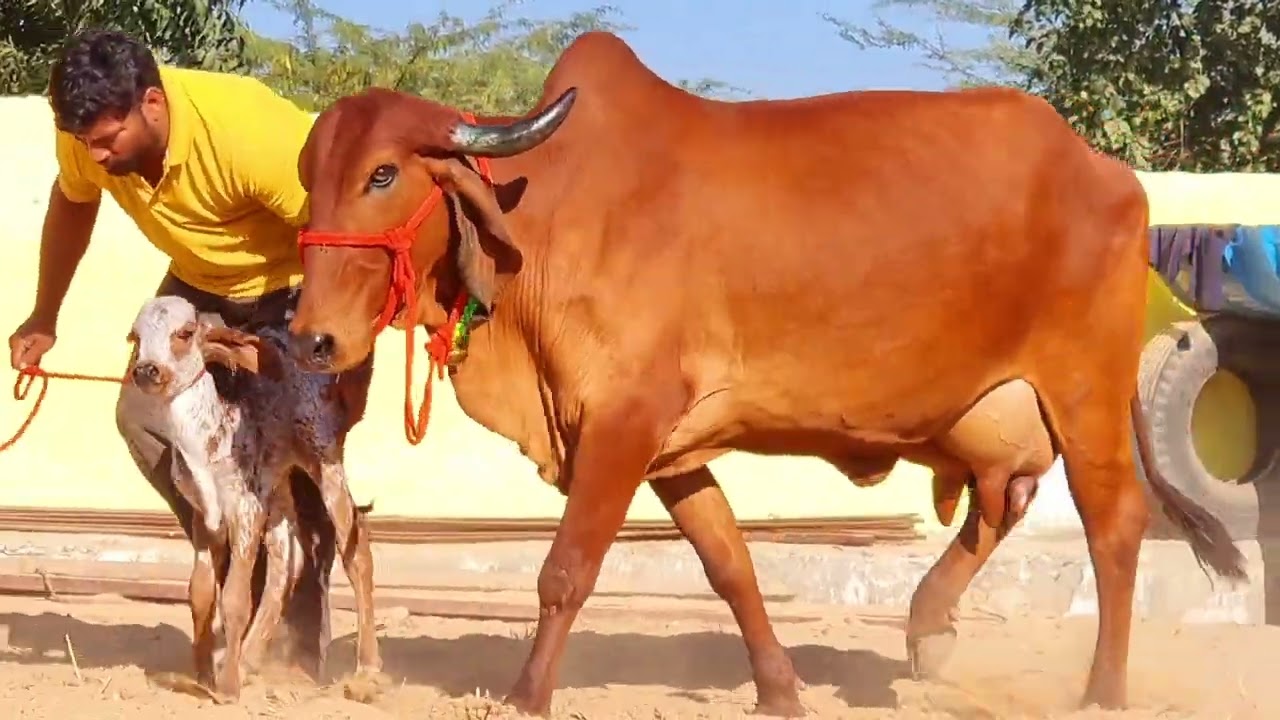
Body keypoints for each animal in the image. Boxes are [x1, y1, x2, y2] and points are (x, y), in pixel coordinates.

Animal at [282, 31, 1248, 717]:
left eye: (382, 173)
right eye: (308, 176)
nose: (312, 339)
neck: (549, 215)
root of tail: (1107, 171)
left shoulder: (623, 424)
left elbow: (567, 571)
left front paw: (523, 698)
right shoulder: (670, 448)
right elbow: (731, 565)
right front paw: (780, 688)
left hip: (1084, 391)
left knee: (1113, 526)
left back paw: (1102, 691)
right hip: (990, 410)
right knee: (1000, 498)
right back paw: (928, 623)